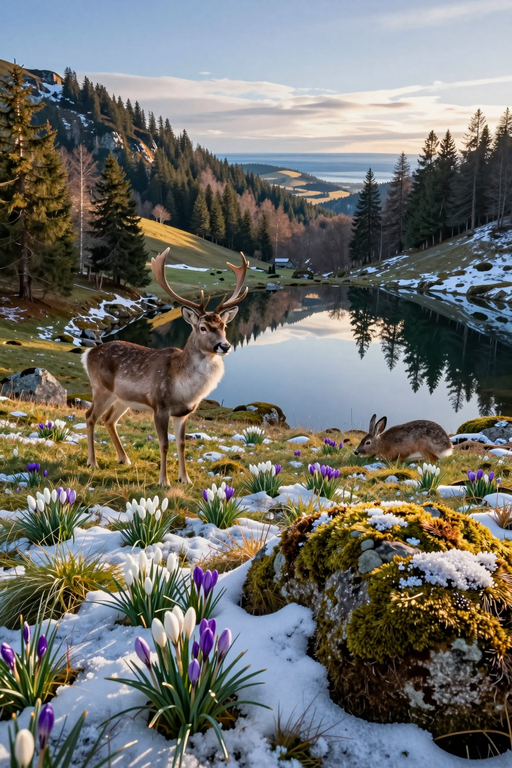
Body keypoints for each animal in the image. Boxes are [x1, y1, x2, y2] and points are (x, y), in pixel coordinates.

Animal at [82, 248, 248, 485]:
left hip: (122, 398)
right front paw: (164, 481)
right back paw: (92, 462)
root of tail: (87, 354)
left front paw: (185, 479)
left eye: (224, 326)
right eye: (203, 327)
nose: (224, 345)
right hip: (101, 389)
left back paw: (124, 459)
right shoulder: (159, 406)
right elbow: (164, 444)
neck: (183, 389)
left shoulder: (183, 413)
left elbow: (182, 444)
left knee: (108, 419)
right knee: (90, 417)